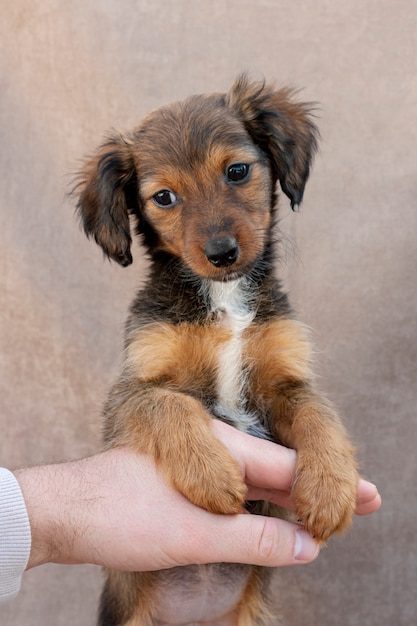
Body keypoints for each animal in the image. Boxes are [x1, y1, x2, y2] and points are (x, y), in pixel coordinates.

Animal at [75, 77, 358, 624]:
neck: (224, 301)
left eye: (237, 171)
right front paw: (210, 473)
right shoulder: (130, 393)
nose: (222, 253)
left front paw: (331, 488)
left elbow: (319, 415)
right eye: (164, 197)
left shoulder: (286, 380)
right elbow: (169, 404)